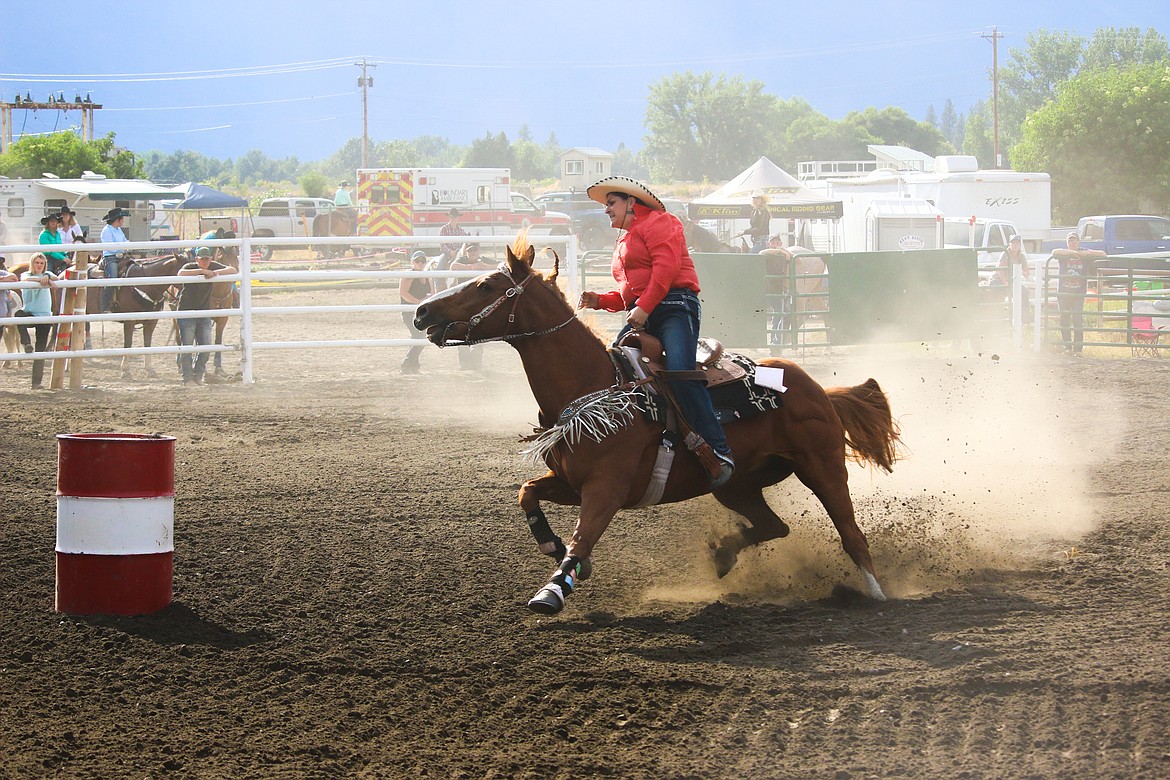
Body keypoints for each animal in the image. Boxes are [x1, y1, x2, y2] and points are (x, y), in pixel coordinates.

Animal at [416, 238, 898, 617]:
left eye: (486, 286)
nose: (421, 310)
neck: (596, 387)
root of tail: (817, 388)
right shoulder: (569, 482)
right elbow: (527, 493)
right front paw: (551, 545)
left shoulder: (605, 490)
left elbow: (583, 538)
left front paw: (553, 589)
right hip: (736, 485)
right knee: (774, 527)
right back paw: (724, 554)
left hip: (822, 467)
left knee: (852, 535)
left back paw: (876, 594)